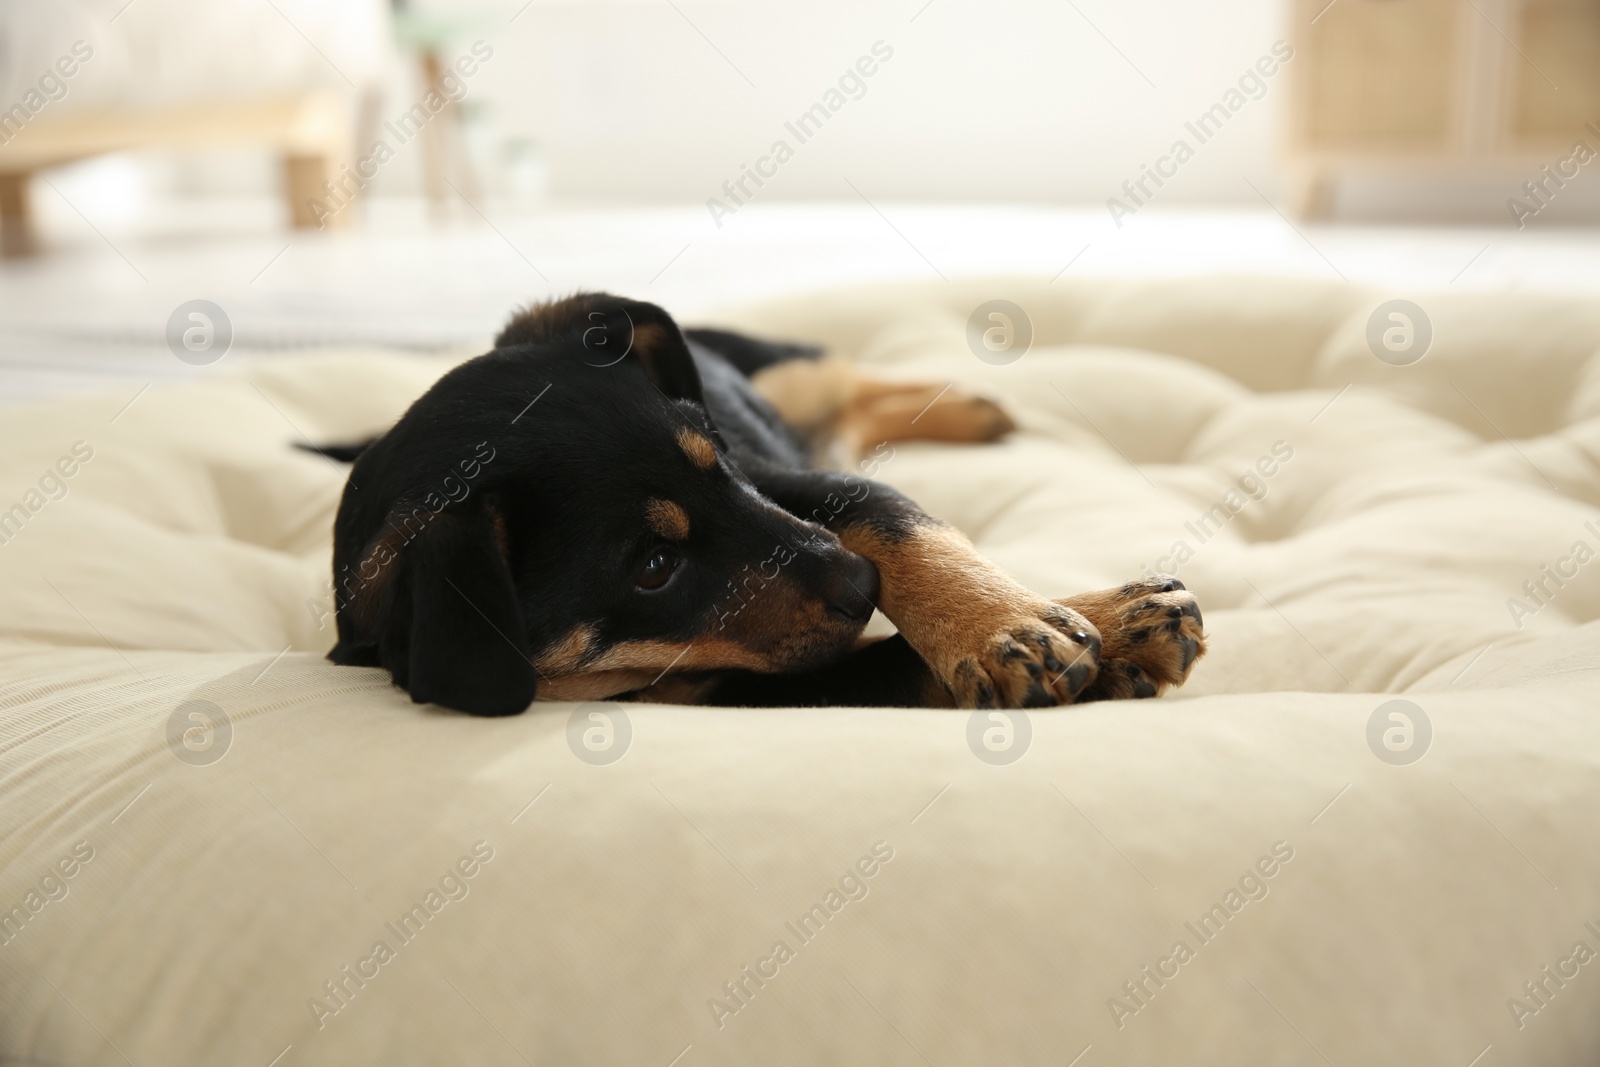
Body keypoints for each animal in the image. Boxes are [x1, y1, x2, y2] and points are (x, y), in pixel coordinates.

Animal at [324, 289, 1203, 716]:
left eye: (722, 465)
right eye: (653, 566)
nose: (861, 586)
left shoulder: (806, 491)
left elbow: (907, 530)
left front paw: (1008, 624)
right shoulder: (731, 688)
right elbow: (889, 664)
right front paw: (1115, 642)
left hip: (792, 375)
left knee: (851, 379)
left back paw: (979, 407)